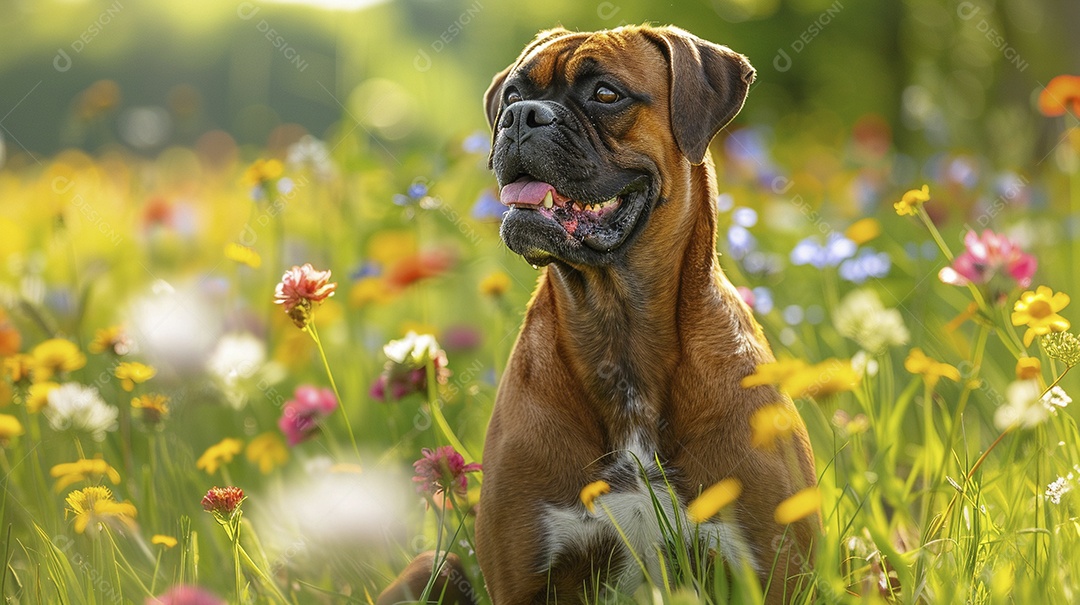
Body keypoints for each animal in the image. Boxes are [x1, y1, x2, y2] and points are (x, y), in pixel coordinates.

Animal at [477, 25, 812, 600]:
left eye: (606, 93)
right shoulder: (523, 578)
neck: (619, 327)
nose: (522, 117)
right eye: (514, 94)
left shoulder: (775, 572)